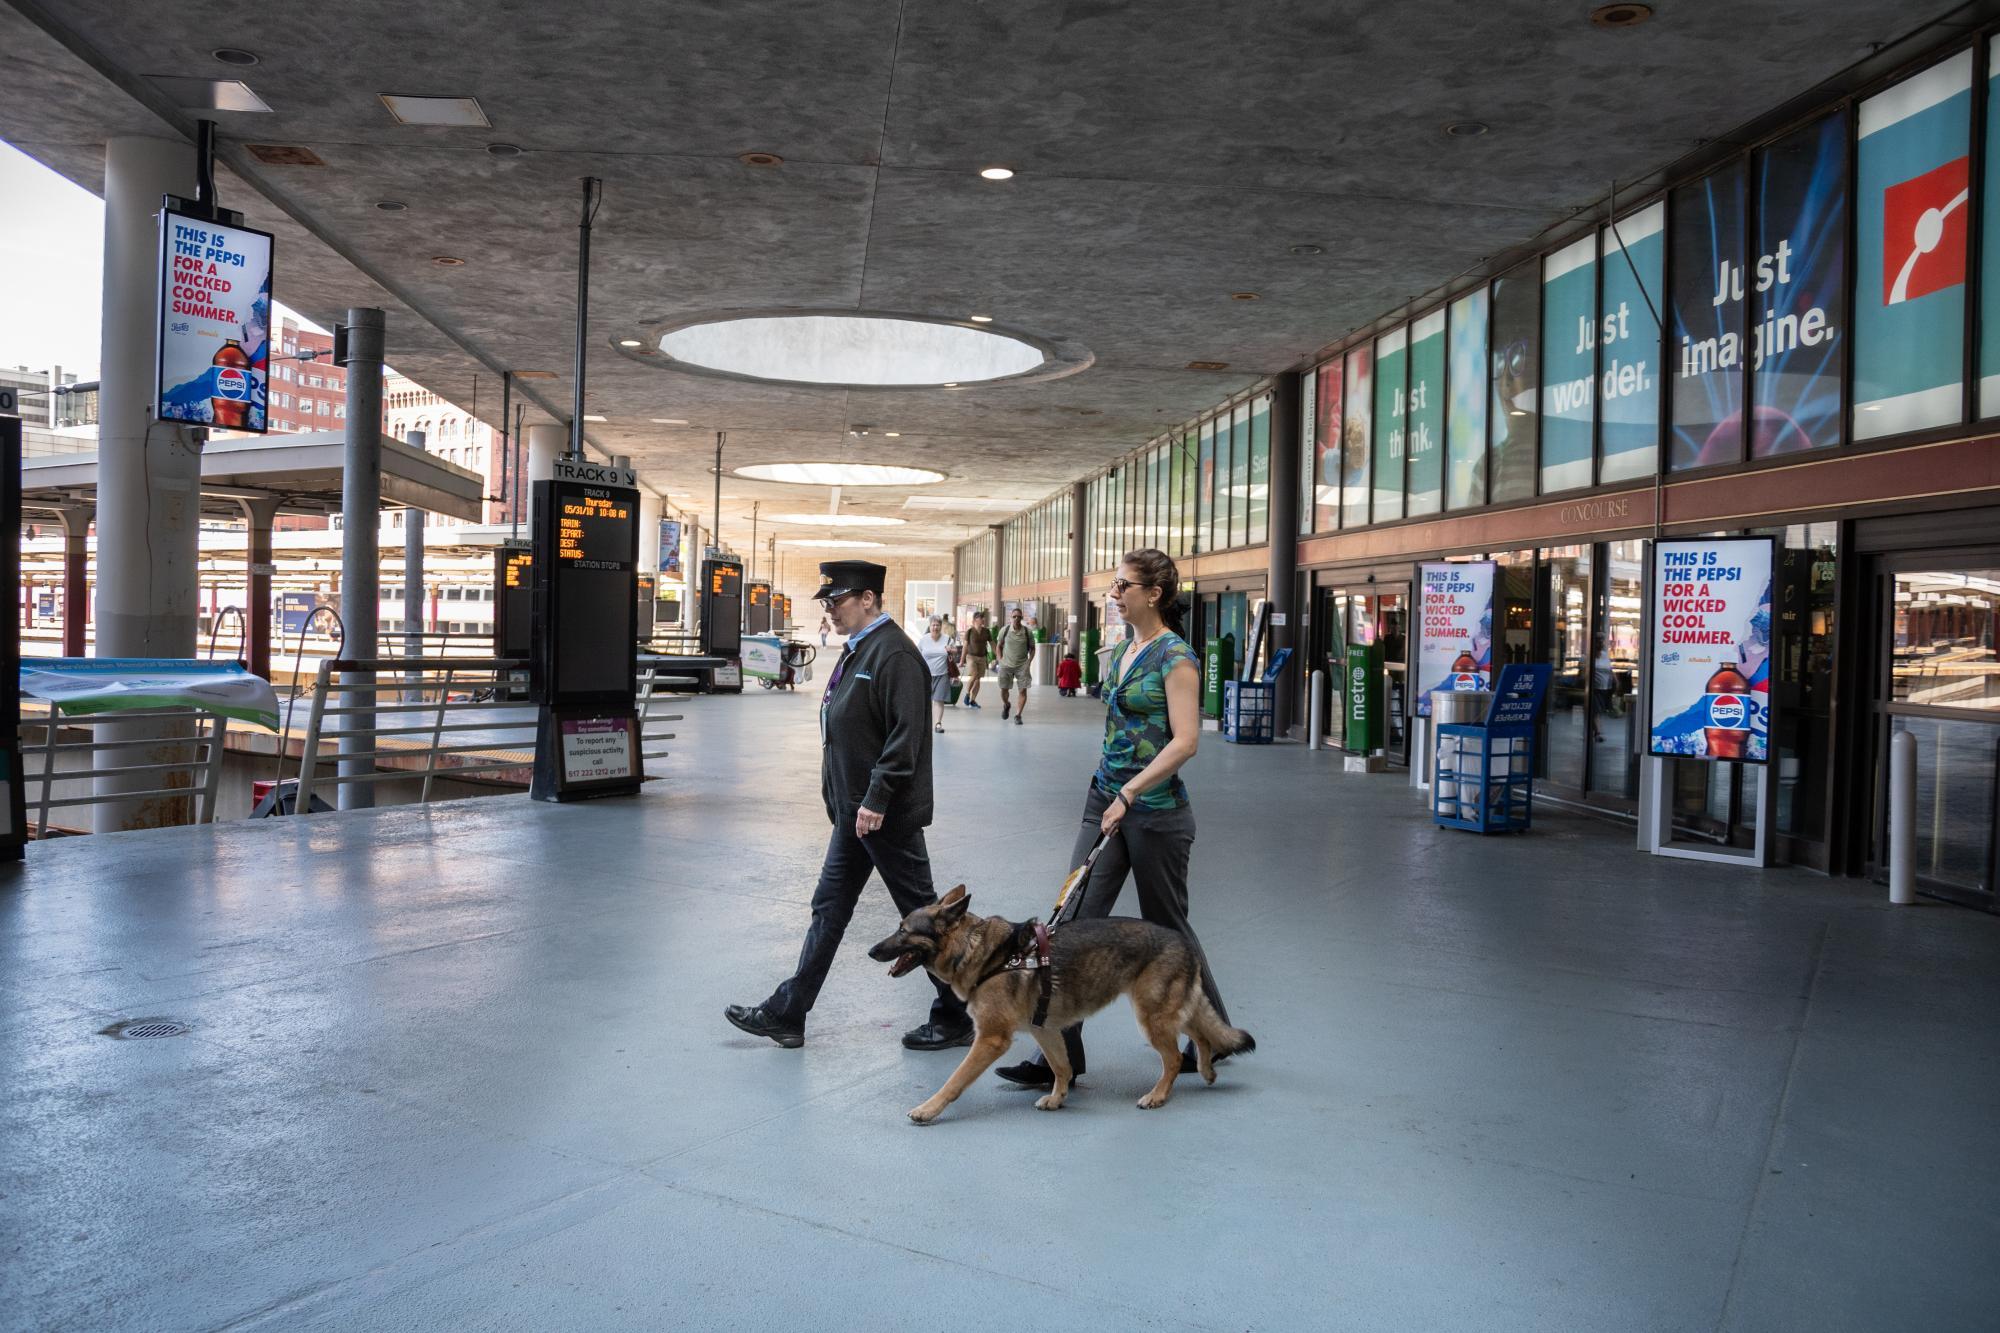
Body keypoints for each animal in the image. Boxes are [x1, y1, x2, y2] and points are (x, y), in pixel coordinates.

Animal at [872, 880, 1256, 1120]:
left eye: (904, 930)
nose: (870, 951)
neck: (979, 952)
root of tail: (1184, 940)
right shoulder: (1045, 1030)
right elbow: (1062, 1067)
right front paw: (1058, 1098)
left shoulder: (991, 1040)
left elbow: (954, 1081)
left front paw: (928, 1109)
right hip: (1166, 1012)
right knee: (1202, 1034)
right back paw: (1206, 1069)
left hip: (1152, 1017)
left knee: (1175, 1058)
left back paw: (1159, 1095)